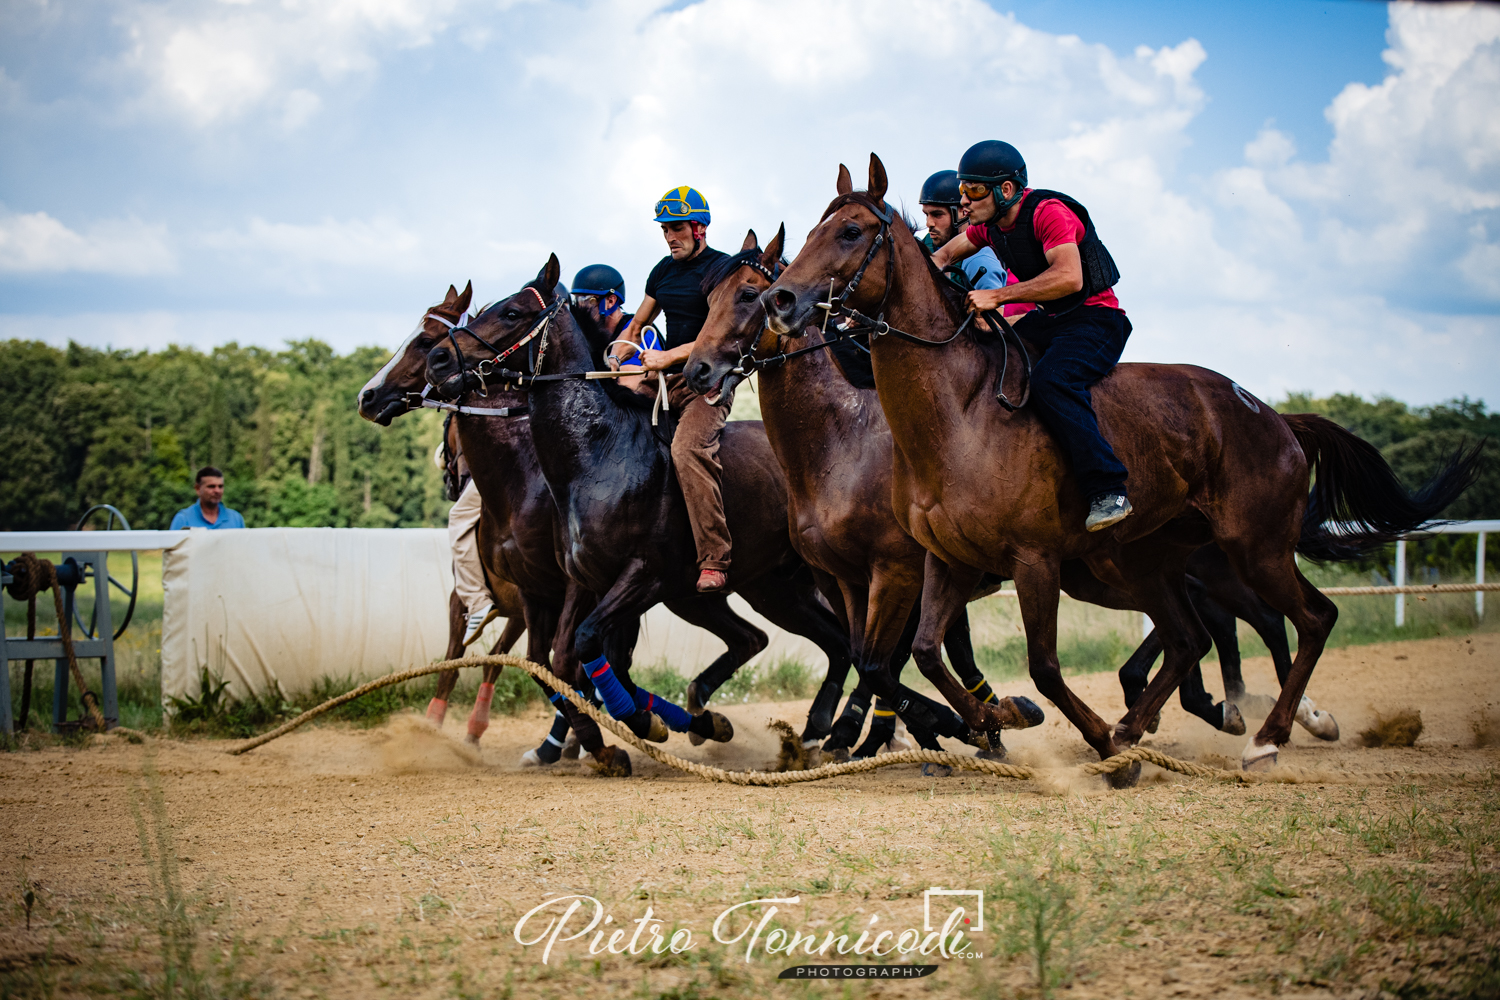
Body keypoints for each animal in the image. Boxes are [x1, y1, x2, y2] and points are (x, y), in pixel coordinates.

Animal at [423, 257, 864, 749]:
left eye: (512, 312)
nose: (438, 358)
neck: (599, 455)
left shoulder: (642, 576)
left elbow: (585, 646)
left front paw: (637, 723)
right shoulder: (590, 582)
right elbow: (586, 662)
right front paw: (669, 722)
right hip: (771, 588)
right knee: (814, 642)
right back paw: (808, 727)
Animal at [762, 154, 1476, 773]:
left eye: (851, 230)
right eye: (812, 229)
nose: (782, 301)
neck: (958, 413)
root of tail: (1273, 415)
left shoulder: (1032, 559)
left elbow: (1044, 667)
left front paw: (1084, 737)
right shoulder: (943, 560)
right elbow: (925, 653)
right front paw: (995, 720)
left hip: (1254, 547)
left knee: (1309, 619)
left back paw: (1265, 738)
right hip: (1149, 559)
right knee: (1192, 637)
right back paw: (1144, 725)